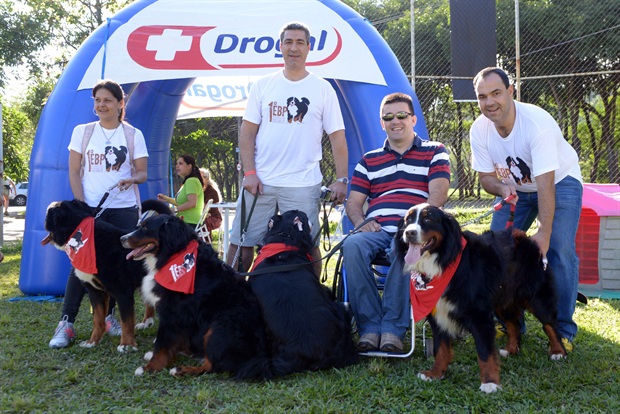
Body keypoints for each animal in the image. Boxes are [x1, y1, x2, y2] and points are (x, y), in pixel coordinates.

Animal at [398, 203, 568, 392]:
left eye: (428, 219)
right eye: (408, 220)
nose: (409, 233)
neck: (442, 261)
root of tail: (525, 238)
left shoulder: (479, 314)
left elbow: (485, 353)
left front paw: (490, 382)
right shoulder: (438, 313)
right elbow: (440, 348)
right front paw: (435, 374)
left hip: (537, 298)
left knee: (551, 325)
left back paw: (559, 352)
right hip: (502, 302)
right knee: (514, 325)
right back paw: (511, 350)